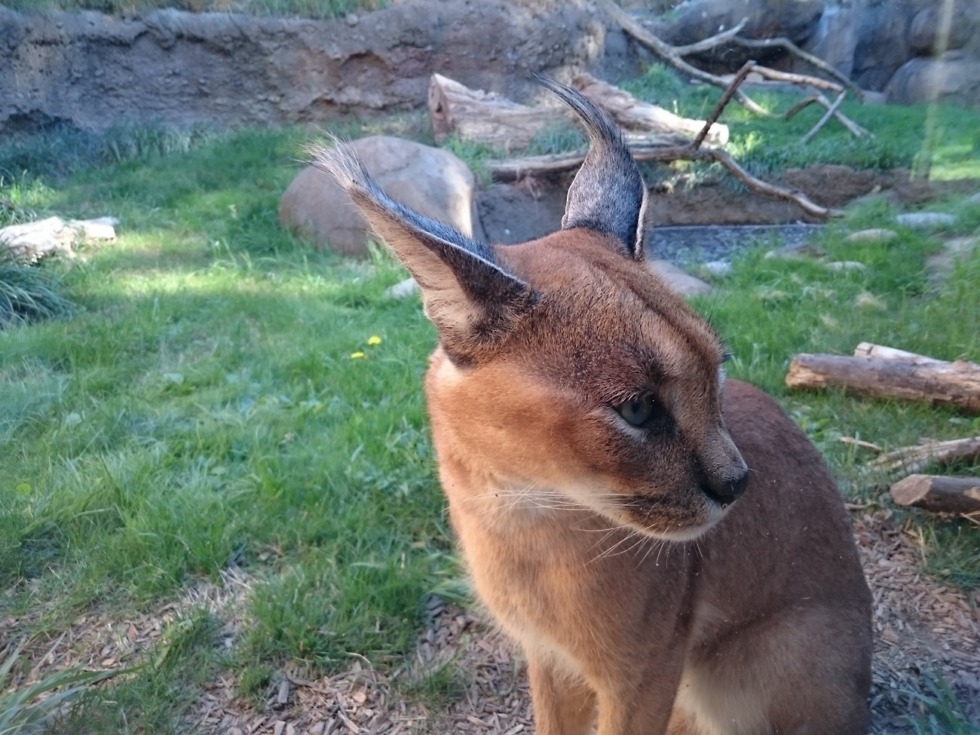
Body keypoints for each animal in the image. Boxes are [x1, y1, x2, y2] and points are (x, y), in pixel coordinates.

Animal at [312, 77, 873, 735]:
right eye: (638, 410)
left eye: (717, 371)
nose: (737, 483)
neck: (518, 512)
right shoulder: (551, 659)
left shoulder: (642, 673)